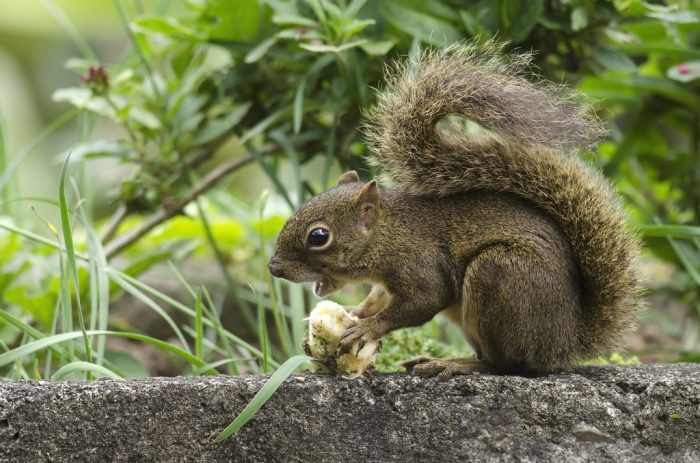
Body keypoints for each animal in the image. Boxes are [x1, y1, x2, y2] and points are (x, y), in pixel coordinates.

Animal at [266, 42, 644, 380]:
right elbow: (378, 297)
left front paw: (367, 328)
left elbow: (427, 298)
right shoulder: (388, 281)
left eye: (319, 236)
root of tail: (565, 344)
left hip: (499, 274)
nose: (273, 268)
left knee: (505, 364)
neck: (387, 233)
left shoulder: (418, 261)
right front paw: (355, 311)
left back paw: (453, 364)